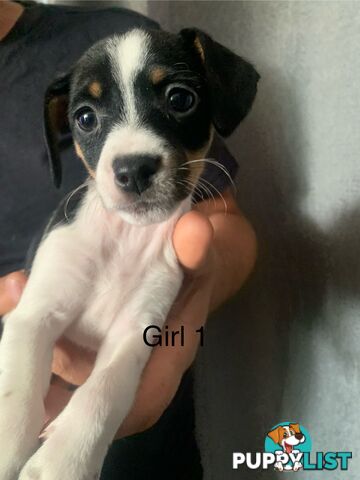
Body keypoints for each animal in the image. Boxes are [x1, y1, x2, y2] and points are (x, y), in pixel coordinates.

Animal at [0, 27, 258, 480]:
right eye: (85, 117)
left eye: (180, 99)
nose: (134, 169)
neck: (123, 241)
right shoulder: (33, 315)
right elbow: (18, 392)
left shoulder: (136, 332)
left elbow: (102, 394)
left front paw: (64, 460)